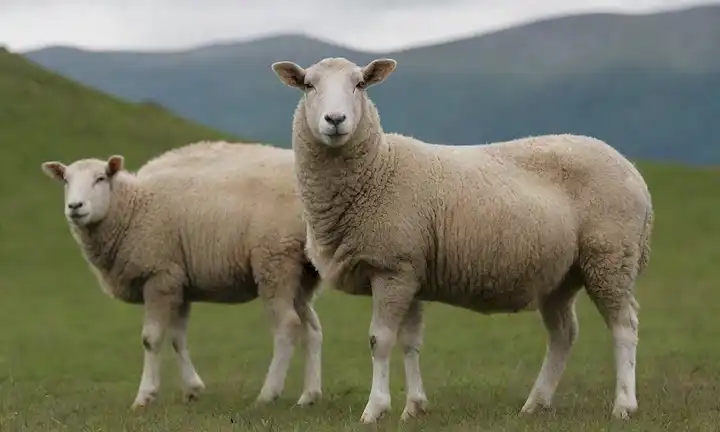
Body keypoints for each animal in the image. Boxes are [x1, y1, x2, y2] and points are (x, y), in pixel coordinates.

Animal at [40, 141, 324, 409]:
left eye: (100, 178)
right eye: (66, 180)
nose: (74, 206)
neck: (133, 209)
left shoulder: (159, 277)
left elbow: (151, 339)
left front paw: (144, 397)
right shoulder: (179, 283)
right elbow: (178, 338)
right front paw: (193, 389)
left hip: (276, 260)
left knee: (287, 325)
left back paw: (268, 394)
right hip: (304, 272)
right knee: (312, 328)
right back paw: (309, 396)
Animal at [270, 57, 654, 424]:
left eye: (360, 84)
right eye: (308, 85)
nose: (335, 120)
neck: (379, 168)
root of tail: (633, 171)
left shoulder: (392, 268)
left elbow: (380, 340)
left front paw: (375, 409)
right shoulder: (411, 270)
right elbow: (410, 342)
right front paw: (414, 407)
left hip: (610, 257)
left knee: (625, 327)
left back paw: (624, 405)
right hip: (561, 274)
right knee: (563, 334)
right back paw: (535, 403)